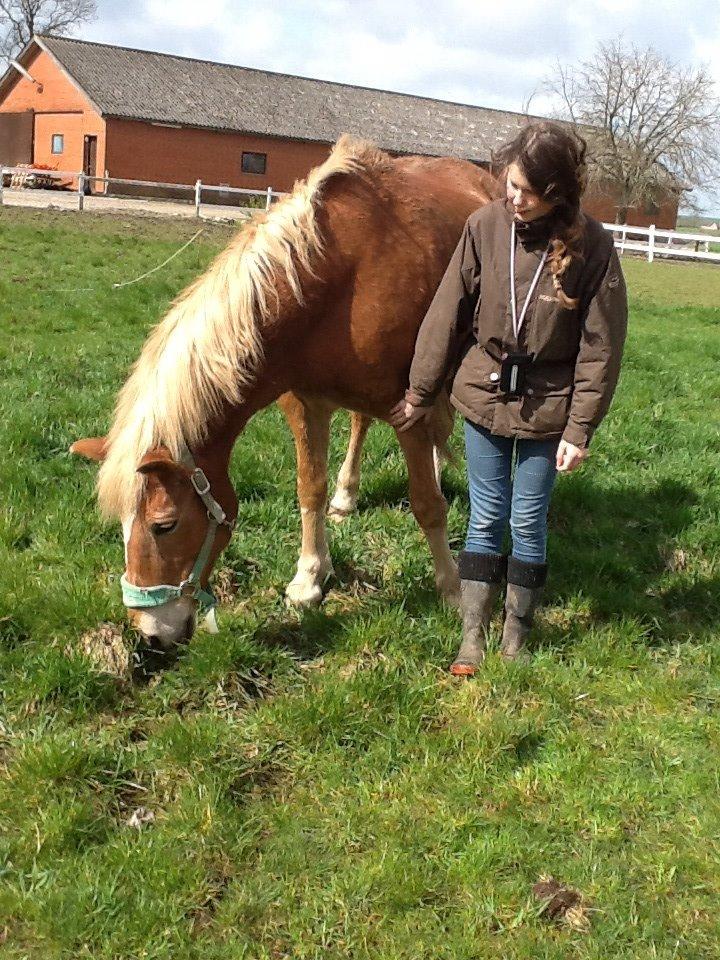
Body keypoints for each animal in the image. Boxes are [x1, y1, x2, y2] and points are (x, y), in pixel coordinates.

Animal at [73, 135, 498, 644]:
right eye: (121, 526)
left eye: (164, 525)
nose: (151, 633)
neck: (335, 282)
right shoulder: (304, 403)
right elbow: (309, 488)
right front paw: (309, 578)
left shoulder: (406, 408)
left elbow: (427, 505)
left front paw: (452, 589)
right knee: (362, 423)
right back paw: (347, 497)